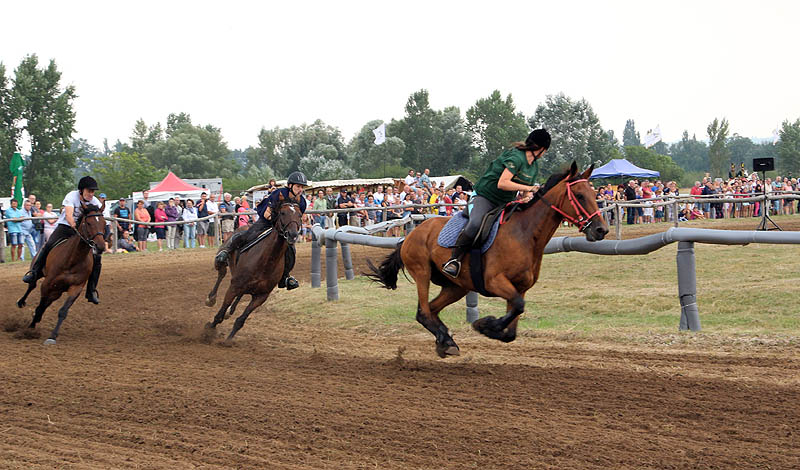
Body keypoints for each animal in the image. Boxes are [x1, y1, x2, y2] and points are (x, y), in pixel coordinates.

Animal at [16, 203, 107, 346]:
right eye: (89, 223)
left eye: (104, 222)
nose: (101, 246)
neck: (73, 259)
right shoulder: (47, 284)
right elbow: (40, 306)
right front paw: (31, 327)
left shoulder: (76, 287)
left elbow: (63, 311)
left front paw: (52, 336)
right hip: (39, 275)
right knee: (31, 285)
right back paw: (21, 302)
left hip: (57, 291)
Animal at [206, 195, 304, 342]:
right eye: (282, 213)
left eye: (299, 215)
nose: (292, 234)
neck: (266, 262)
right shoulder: (234, 286)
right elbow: (220, 313)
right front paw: (208, 331)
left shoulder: (261, 296)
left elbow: (241, 320)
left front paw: (228, 340)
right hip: (222, 260)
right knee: (221, 273)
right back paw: (211, 298)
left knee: (239, 295)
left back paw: (231, 310)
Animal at [368, 162, 608, 356]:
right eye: (579, 196)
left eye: (592, 193)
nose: (601, 230)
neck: (525, 235)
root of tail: (410, 235)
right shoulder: (494, 281)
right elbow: (518, 307)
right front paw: (485, 324)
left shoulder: (520, 288)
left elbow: (513, 326)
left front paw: (490, 327)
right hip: (422, 272)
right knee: (423, 312)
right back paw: (446, 340)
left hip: (457, 286)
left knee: (432, 310)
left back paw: (445, 341)